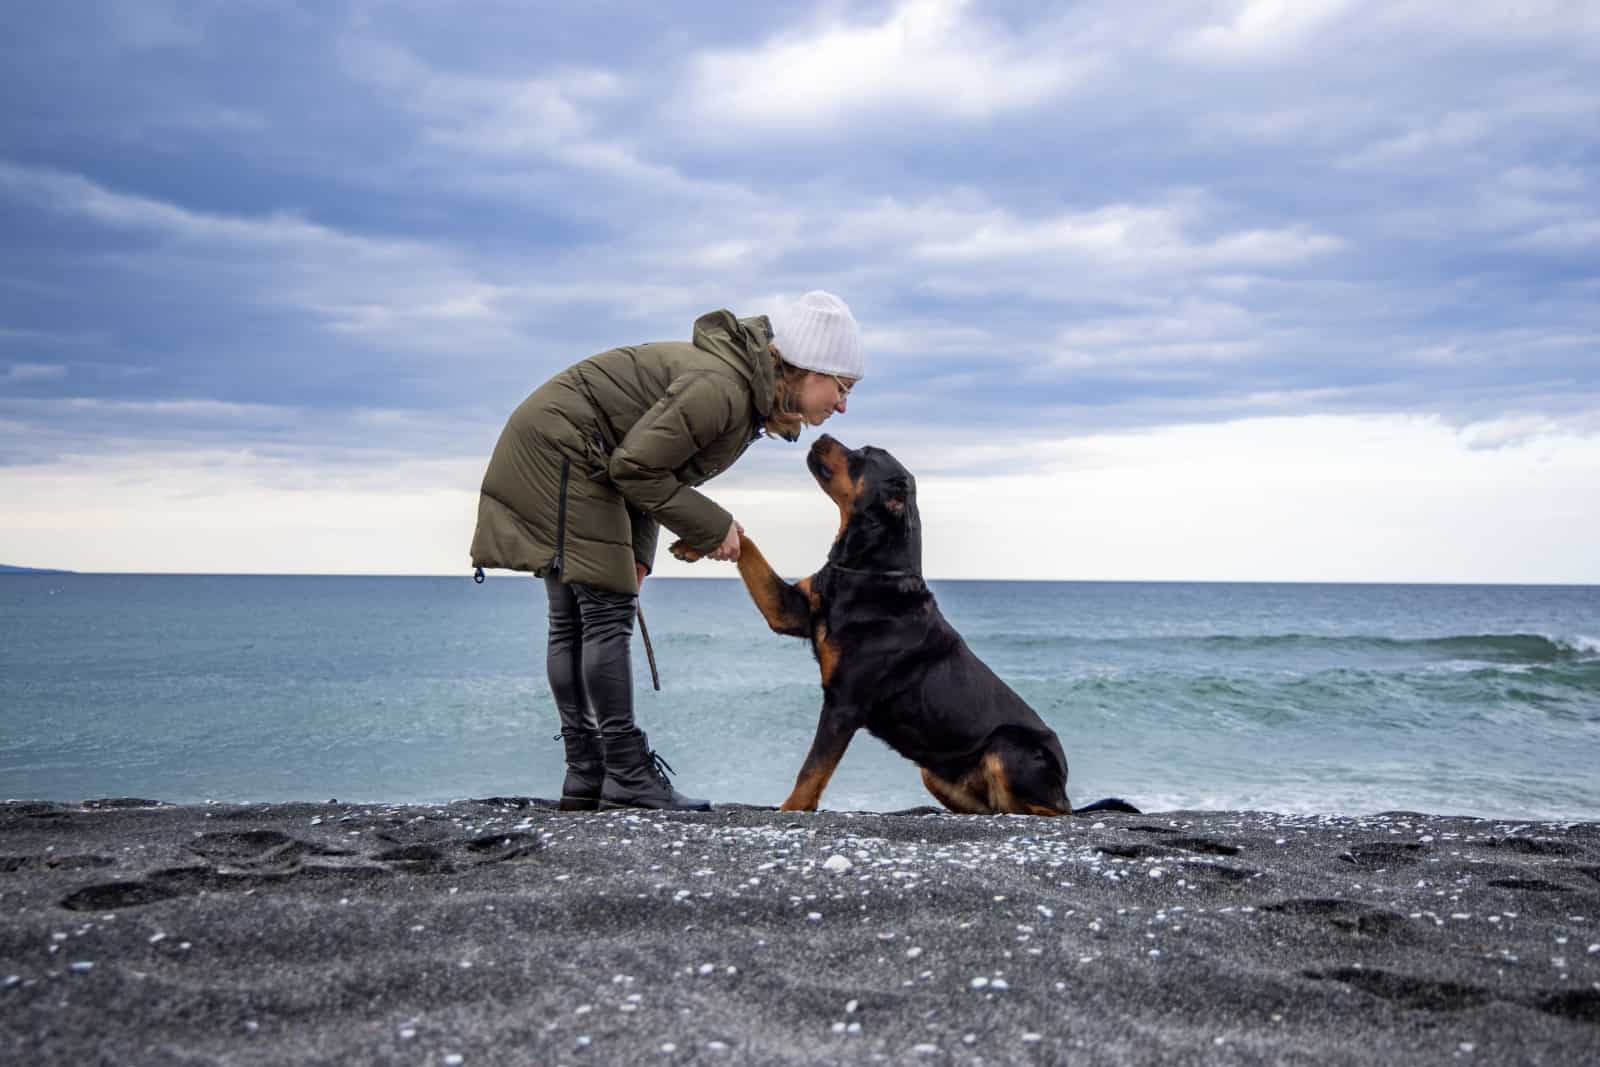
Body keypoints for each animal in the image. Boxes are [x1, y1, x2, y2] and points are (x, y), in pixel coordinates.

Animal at [675, 435, 1139, 819]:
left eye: (863, 456)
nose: (821, 435)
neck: (867, 569)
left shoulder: (844, 703)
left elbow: (812, 768)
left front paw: (790, 809)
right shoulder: (789, 611)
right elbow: (749, 549)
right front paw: (696, 543)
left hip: (1007, 747)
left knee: (1049, 812)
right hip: (934, 772)